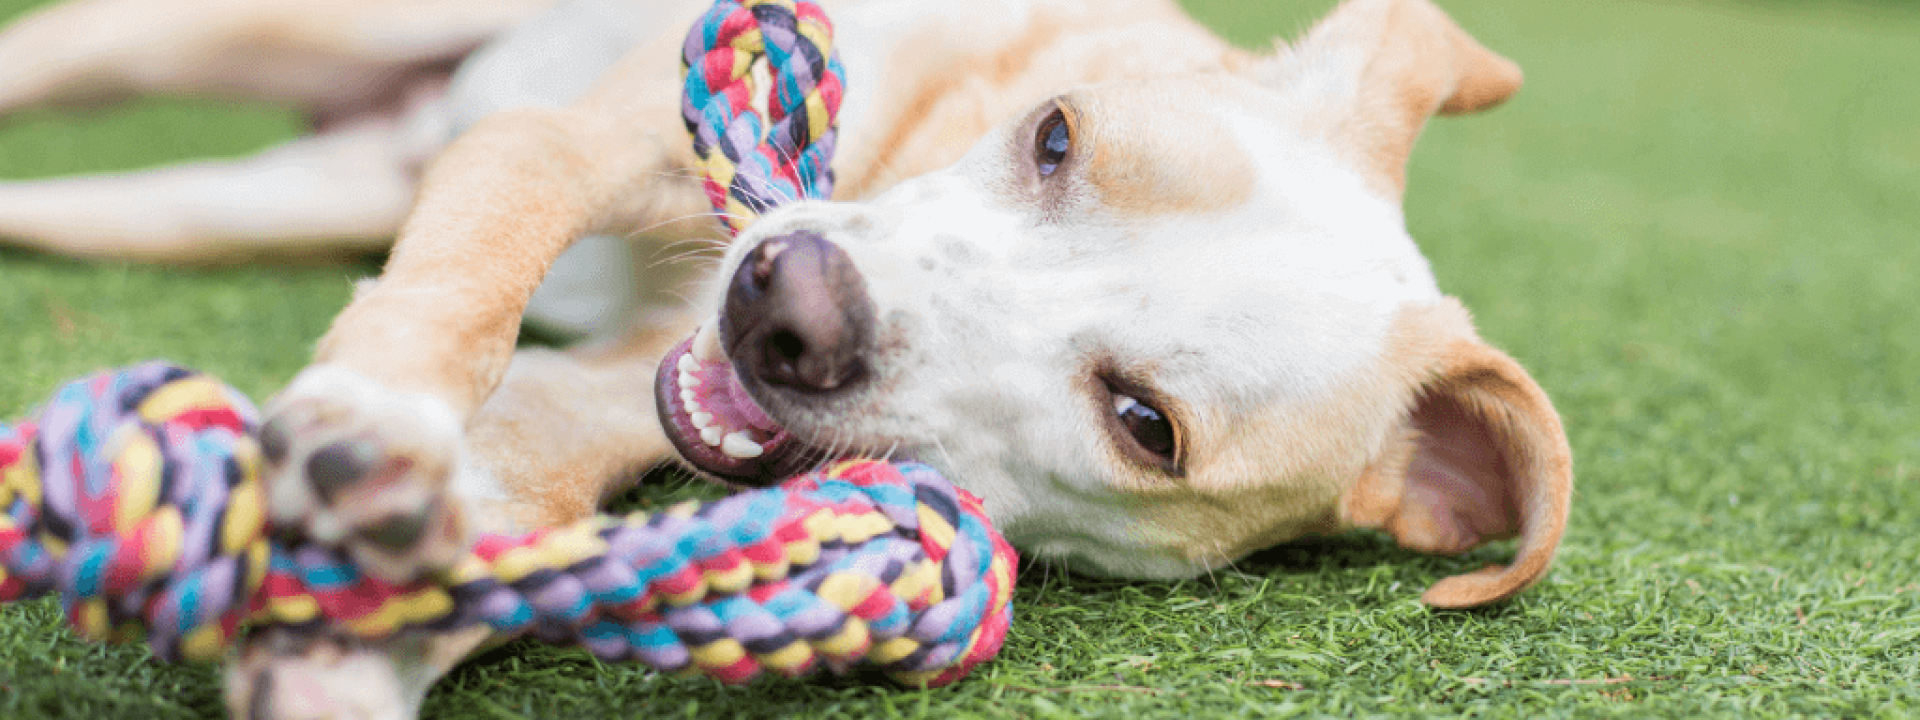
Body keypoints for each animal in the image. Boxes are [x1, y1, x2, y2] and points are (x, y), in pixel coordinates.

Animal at [0, 0, 1574, 718]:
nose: (789, 308)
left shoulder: (628, 377)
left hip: (240, 201)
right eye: (1056, 135)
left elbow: (525, 476)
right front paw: (373, 417)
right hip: (227, 42)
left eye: (1145, 424)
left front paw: (350, 638)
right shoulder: (559, 147)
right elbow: (476, 273)